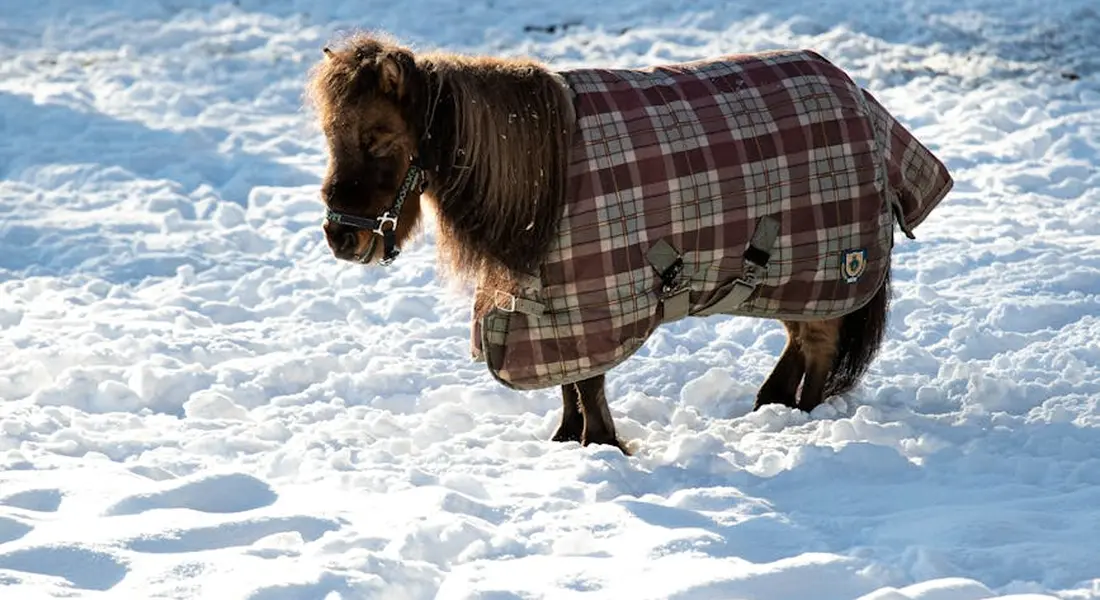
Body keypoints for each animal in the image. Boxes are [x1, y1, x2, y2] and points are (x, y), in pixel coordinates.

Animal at [305, 32, 953, 455]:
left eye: (377, 137)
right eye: (331, 135)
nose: (342, 237)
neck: (543, 174)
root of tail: (857, 94)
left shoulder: (592, 306)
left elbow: (589, 384)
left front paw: (602, 446)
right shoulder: (546, 307)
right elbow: (569, 383)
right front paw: (568, 442)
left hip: (831, 267)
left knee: (818, 346)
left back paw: (801, 417)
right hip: (790, 276)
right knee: (799, 339)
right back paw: (767, 405)